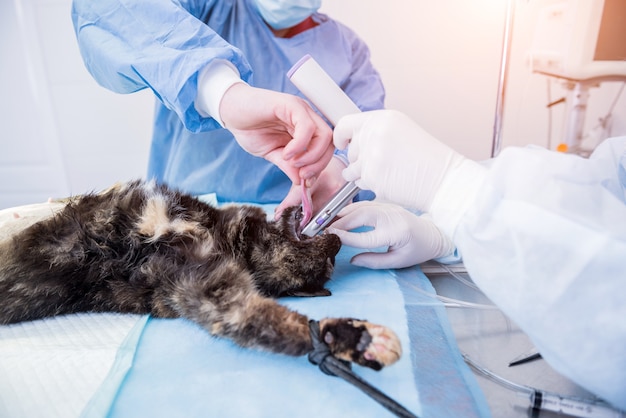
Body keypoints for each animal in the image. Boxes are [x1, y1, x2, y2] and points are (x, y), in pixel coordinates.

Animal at [0, 180, 400, 370]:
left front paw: (348, 337)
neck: (223, 237)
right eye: (329, 261)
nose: (337, 242)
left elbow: (257, 318)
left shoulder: (202, 286)